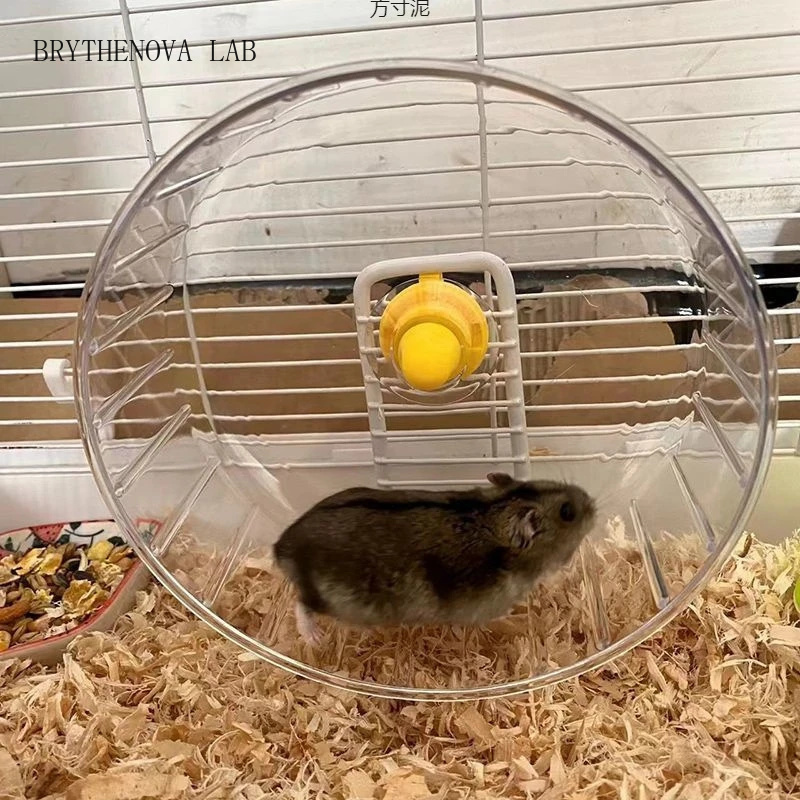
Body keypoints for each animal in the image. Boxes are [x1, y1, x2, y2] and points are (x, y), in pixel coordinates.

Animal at [273, 472, 596, 644]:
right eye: (567, 512)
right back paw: (315, 639)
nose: (592, 503)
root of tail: (281, 546)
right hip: (336, 598)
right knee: (303, 605)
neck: (492, 515)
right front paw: (516, 617)